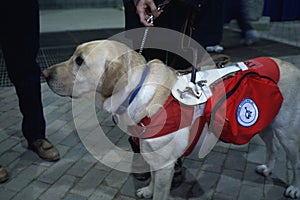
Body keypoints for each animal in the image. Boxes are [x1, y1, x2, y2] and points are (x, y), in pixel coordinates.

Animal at [42, 39, 300, 199]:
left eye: (79, 61)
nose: (44, 73)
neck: (136, 90)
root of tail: (292, 66)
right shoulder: (154, 157)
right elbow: (153, 179)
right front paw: (147, 190)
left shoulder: (166, 164)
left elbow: (160, 192)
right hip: (266, 124)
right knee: (273, 147)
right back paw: (267, 168)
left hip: (287, 134)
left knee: (294, 161)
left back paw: (294, 188)